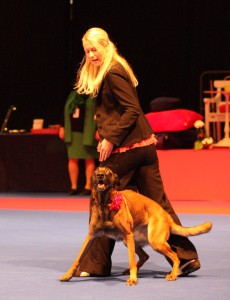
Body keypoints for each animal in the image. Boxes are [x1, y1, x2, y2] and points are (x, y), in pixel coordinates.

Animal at [59, 166, 212, 286]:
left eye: (107, 172)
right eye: (97, 170)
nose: (100, 175)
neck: (105, 204)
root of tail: (166, 215)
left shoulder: (127, 234)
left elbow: (132, 260)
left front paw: (133, 279)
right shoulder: (91, 237)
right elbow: (77, 259)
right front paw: (68, 275)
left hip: (153, 241)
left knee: (175, 256)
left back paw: (173, 274)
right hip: (132, 242)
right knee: (145, 256)